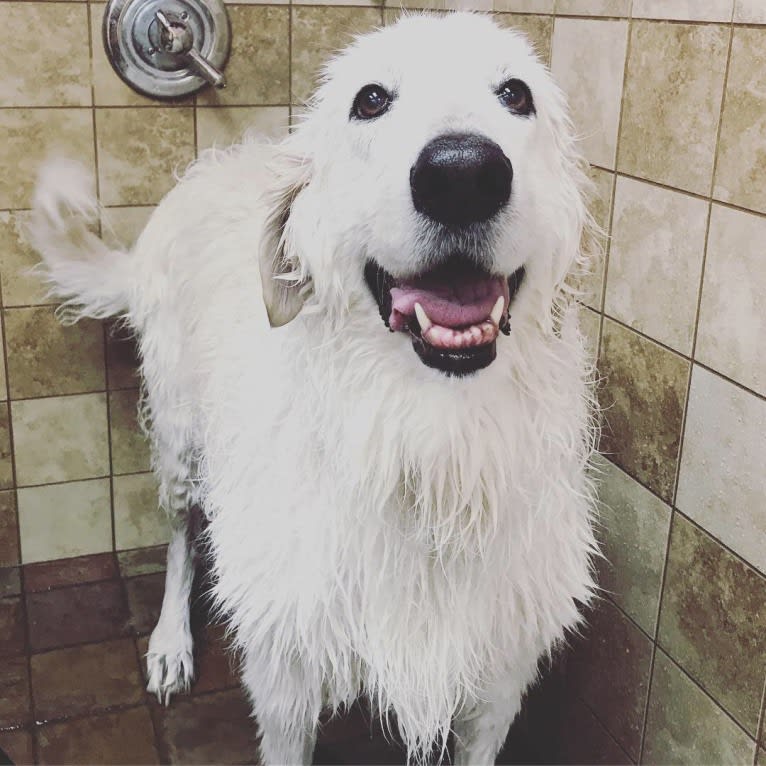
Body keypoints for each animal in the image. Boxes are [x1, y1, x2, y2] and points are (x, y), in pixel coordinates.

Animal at [30, 13, 604, 766]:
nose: (462, 174)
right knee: (182, 537)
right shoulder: (285, 680)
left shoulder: (495, 681)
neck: (426, 444)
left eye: (516, 94)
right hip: (182, 442)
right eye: (370, 100)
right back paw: (170, 644)